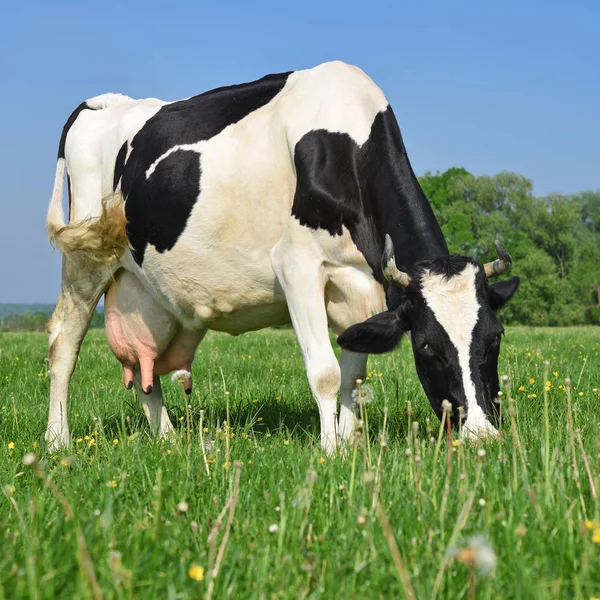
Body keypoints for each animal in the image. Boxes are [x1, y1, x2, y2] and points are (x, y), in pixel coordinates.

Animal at [47, 62, 516, 454]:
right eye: (426, 346)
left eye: (496, 337)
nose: (482, 435)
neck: (347, 144)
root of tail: (103, 102)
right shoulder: (296, 265)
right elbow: (325, 372)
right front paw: (330, 450)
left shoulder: (364, 286)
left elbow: (353, 374)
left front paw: (349, 442)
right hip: (85, 262)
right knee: (63, 343)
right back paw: (57, 442)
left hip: (147, 291)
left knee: (146, 370)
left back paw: (168, 441)